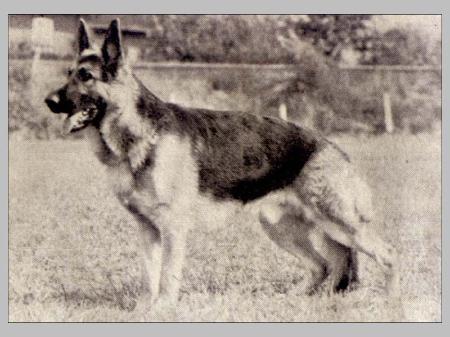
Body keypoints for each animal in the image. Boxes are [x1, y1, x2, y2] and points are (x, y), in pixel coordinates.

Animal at [44, 18, 400, 308]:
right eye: (67, 74)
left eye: (86, 76)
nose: (49, 101)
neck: (140, 133)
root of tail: (334, 148)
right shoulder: (147, 229)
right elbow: (149, 277)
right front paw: (143, 311)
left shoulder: (172, 228)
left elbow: (167, 276)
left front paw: (163, 310)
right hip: (281, 227)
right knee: (326, 265)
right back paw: (302, 300)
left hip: (341, 224)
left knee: (385, 256)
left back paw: (391, 301)